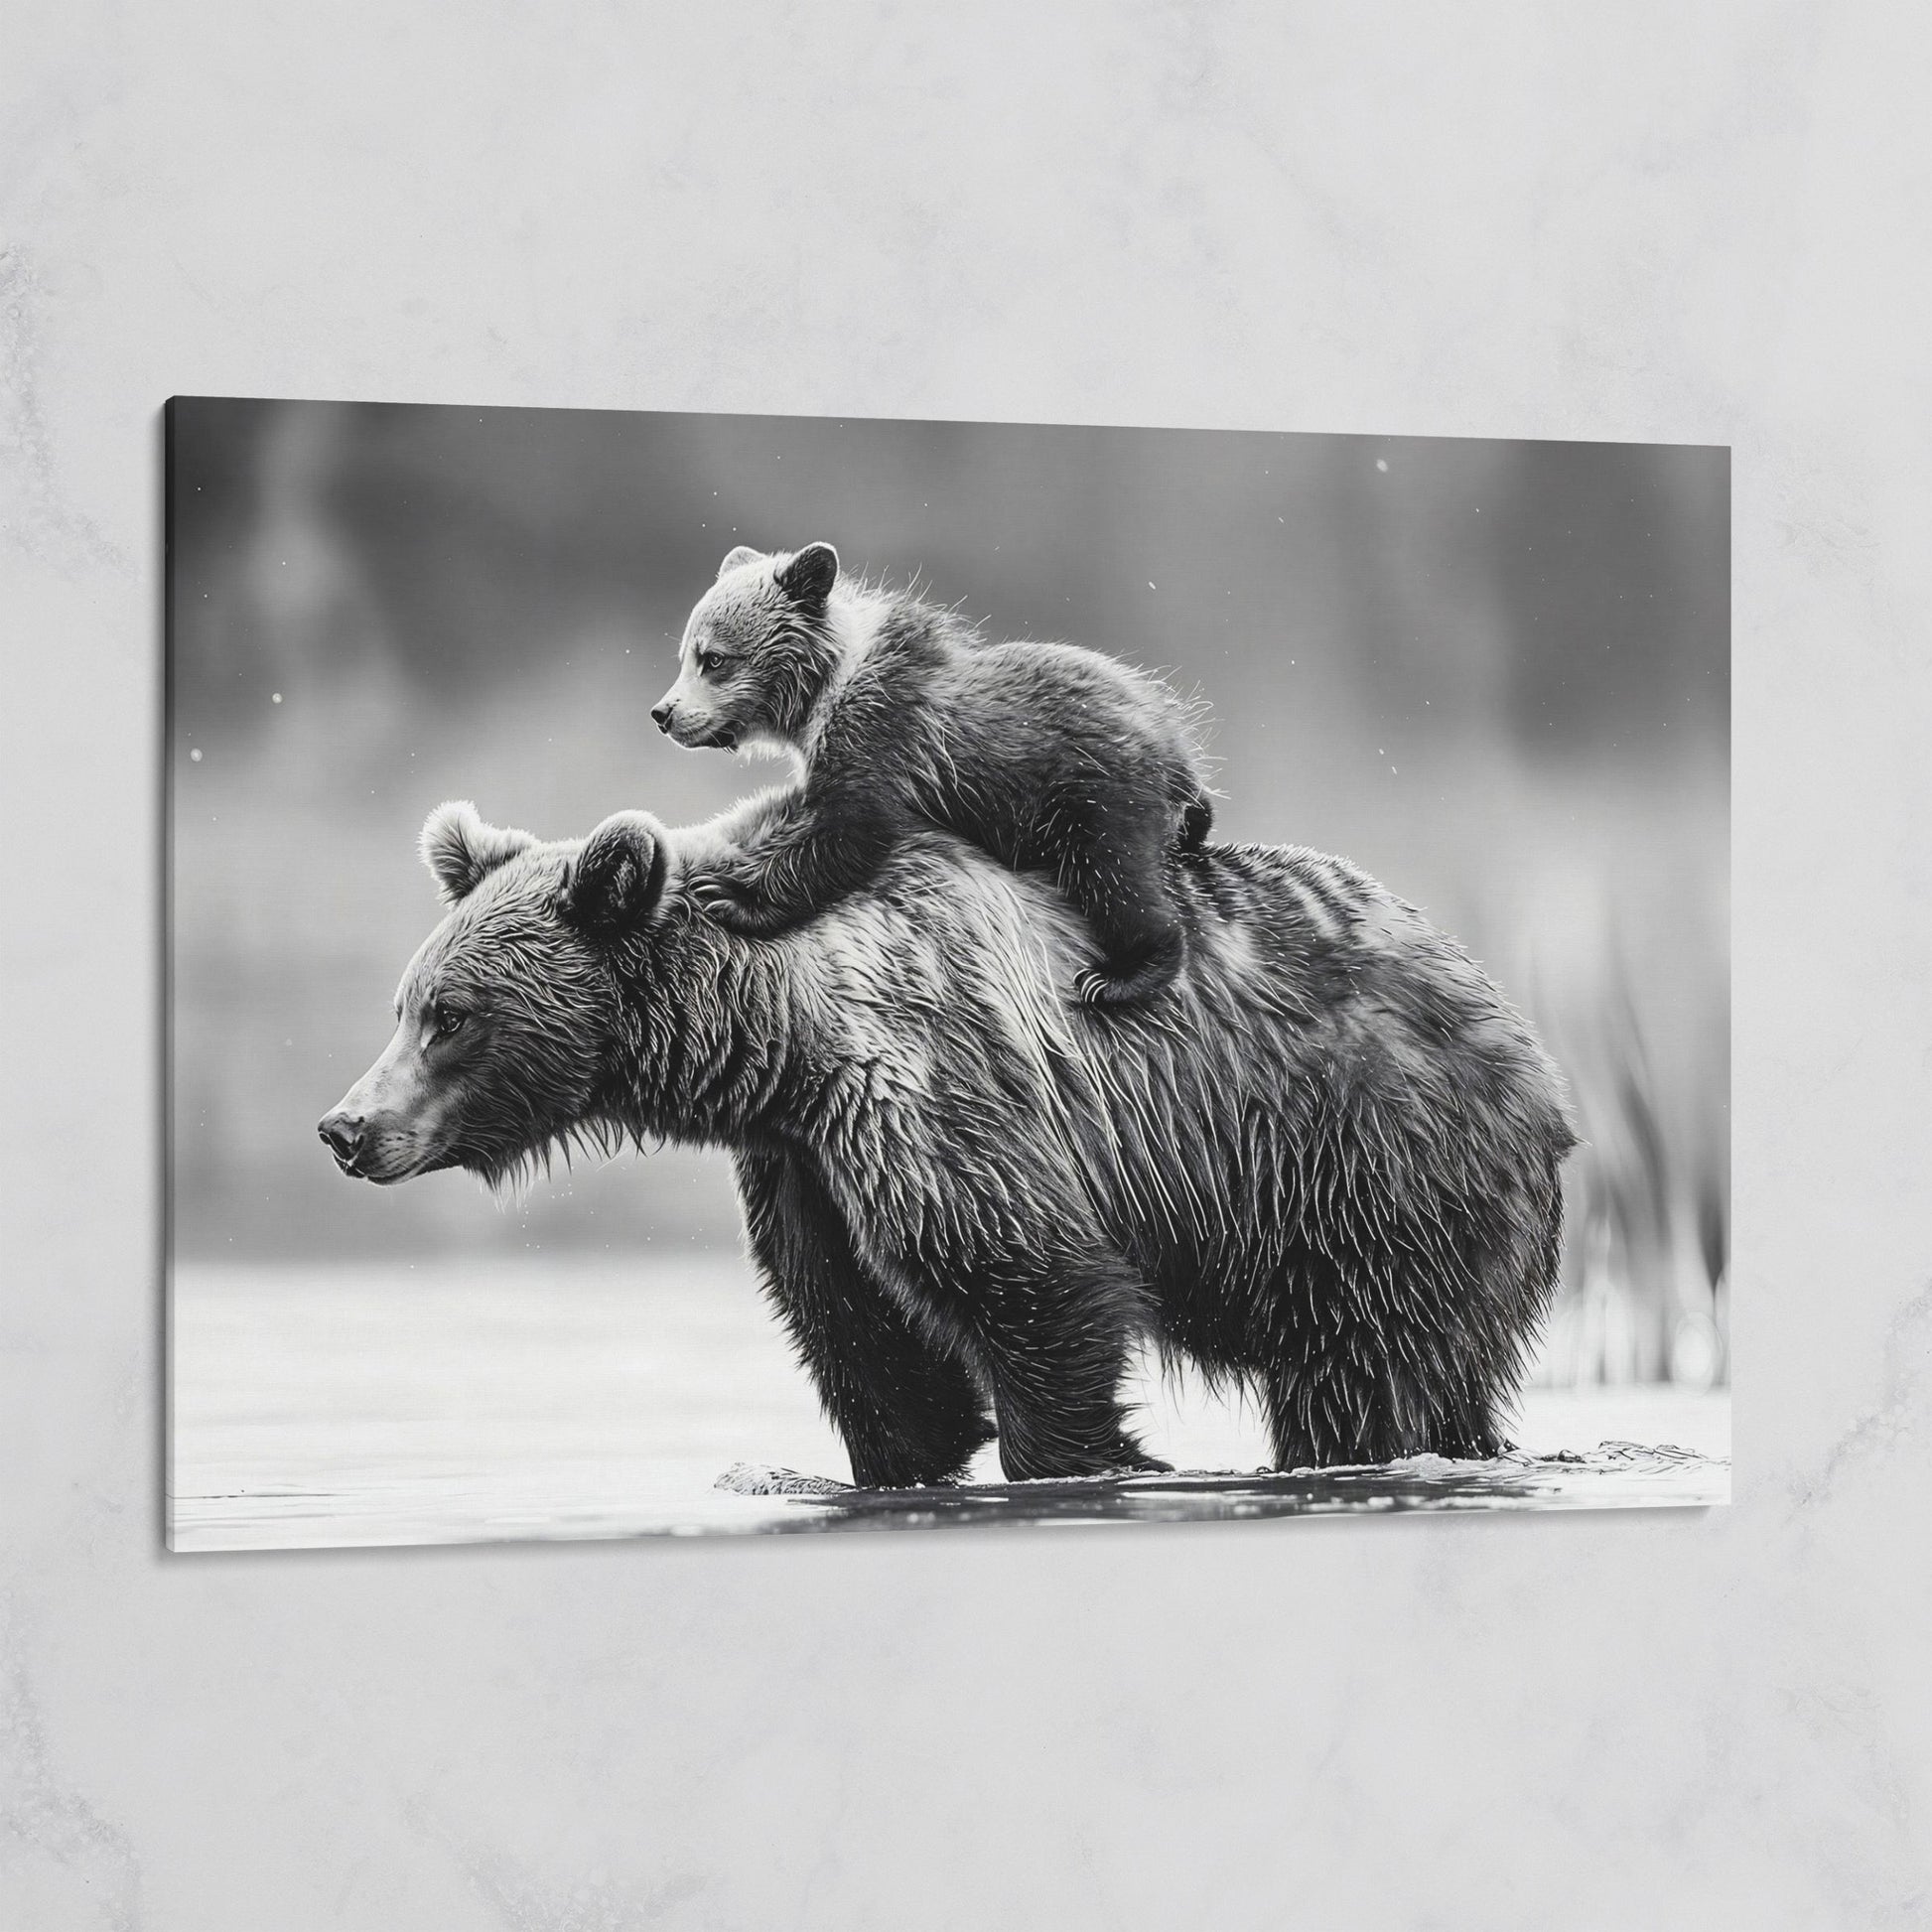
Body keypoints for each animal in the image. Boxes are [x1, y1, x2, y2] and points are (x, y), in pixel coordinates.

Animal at [319, 797, 1577, 1486]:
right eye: (405, 1002)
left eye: (450, 1014)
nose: (346, 1125)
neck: (775, 1036)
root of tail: (1526, 1044)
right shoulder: (804, 1171)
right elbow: (869, 1349)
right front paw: (904, 1452)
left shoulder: (931, 1089)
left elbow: (1030, 1285)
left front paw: (1092, 1454)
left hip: (1363, 1169)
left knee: (1361, 1372)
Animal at [650, 543, 1216, 1004]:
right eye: (684, 654)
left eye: (714, 658)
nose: (664, 713)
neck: (823, 693)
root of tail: (1174, 747)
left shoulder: (882, 738)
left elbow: (849, 832)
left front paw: (728, 895)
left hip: (1095, 794)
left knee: (1116, 877)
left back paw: (1122, 974)